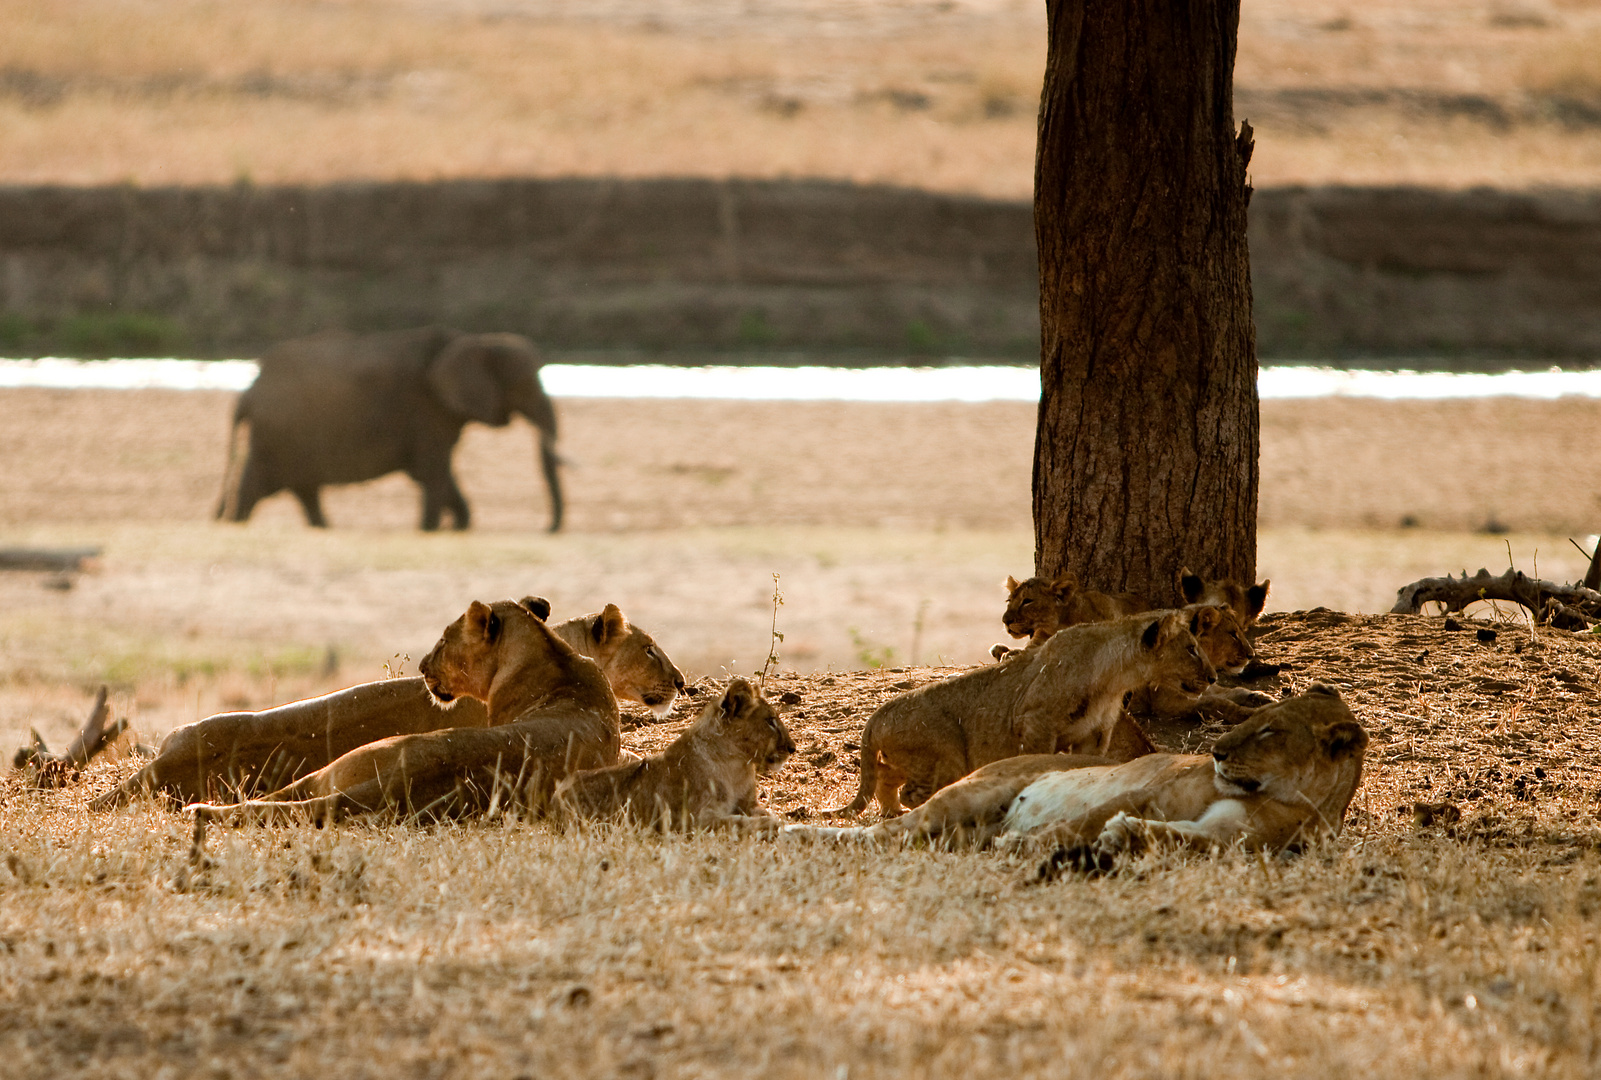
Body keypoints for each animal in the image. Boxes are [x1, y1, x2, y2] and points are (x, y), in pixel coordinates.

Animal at [212, 329, 563, 531]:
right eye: (526, 385)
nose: (547, 529)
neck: (471, 340)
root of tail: (250, 390)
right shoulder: (427, 409)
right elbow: (432, 470)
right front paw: (430, 529)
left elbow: (434, 472)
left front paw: (455, 525)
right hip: (277, 435)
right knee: (257, 486)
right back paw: (238, 524)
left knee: (304, 490)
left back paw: (321, 528)